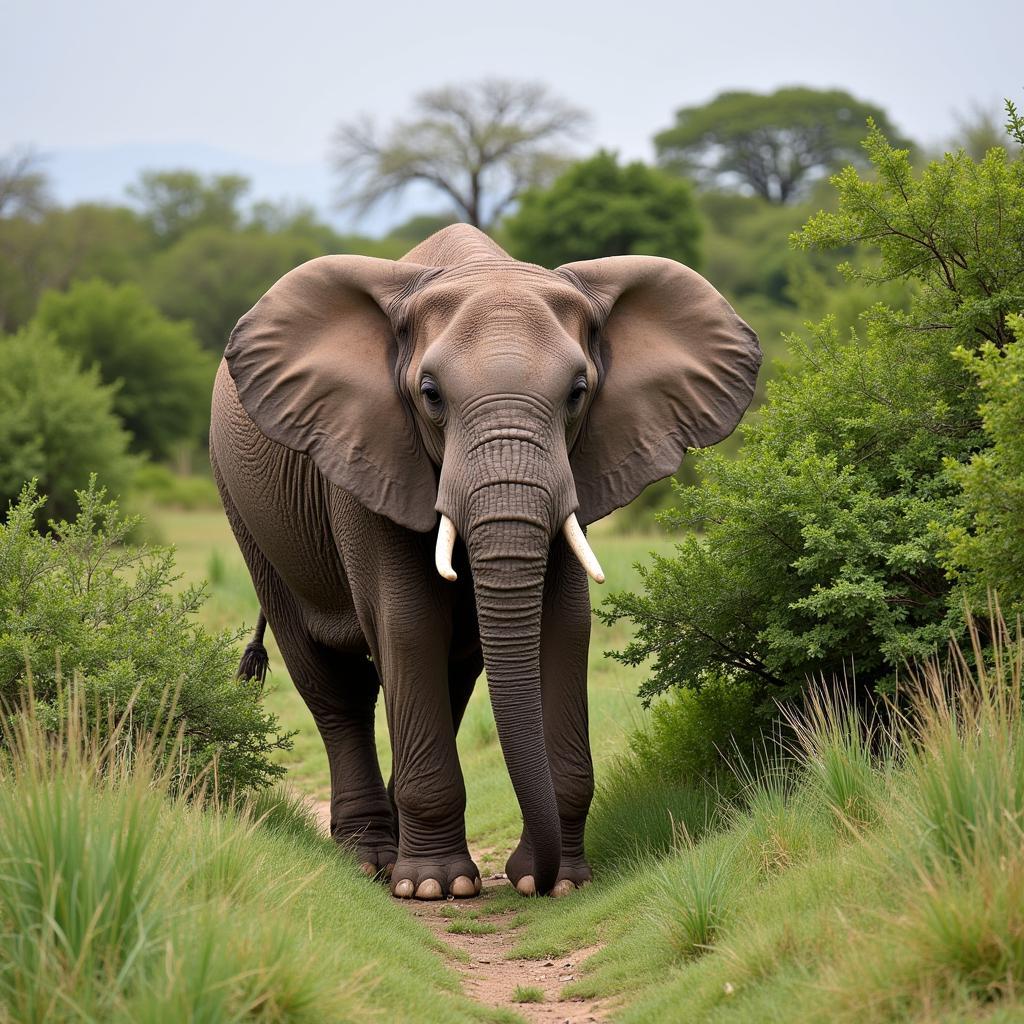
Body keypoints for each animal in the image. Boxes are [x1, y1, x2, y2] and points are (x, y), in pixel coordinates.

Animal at [211, 224, 761, 897]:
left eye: (578, 394)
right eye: (430, 395)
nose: (533, 877)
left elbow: (563, 626)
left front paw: (562, 882)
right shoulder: (367, 457)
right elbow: (409, 625)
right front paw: (433, 888)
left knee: (450, 677)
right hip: (246, 512)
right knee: (332, 684)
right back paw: (370, 860)